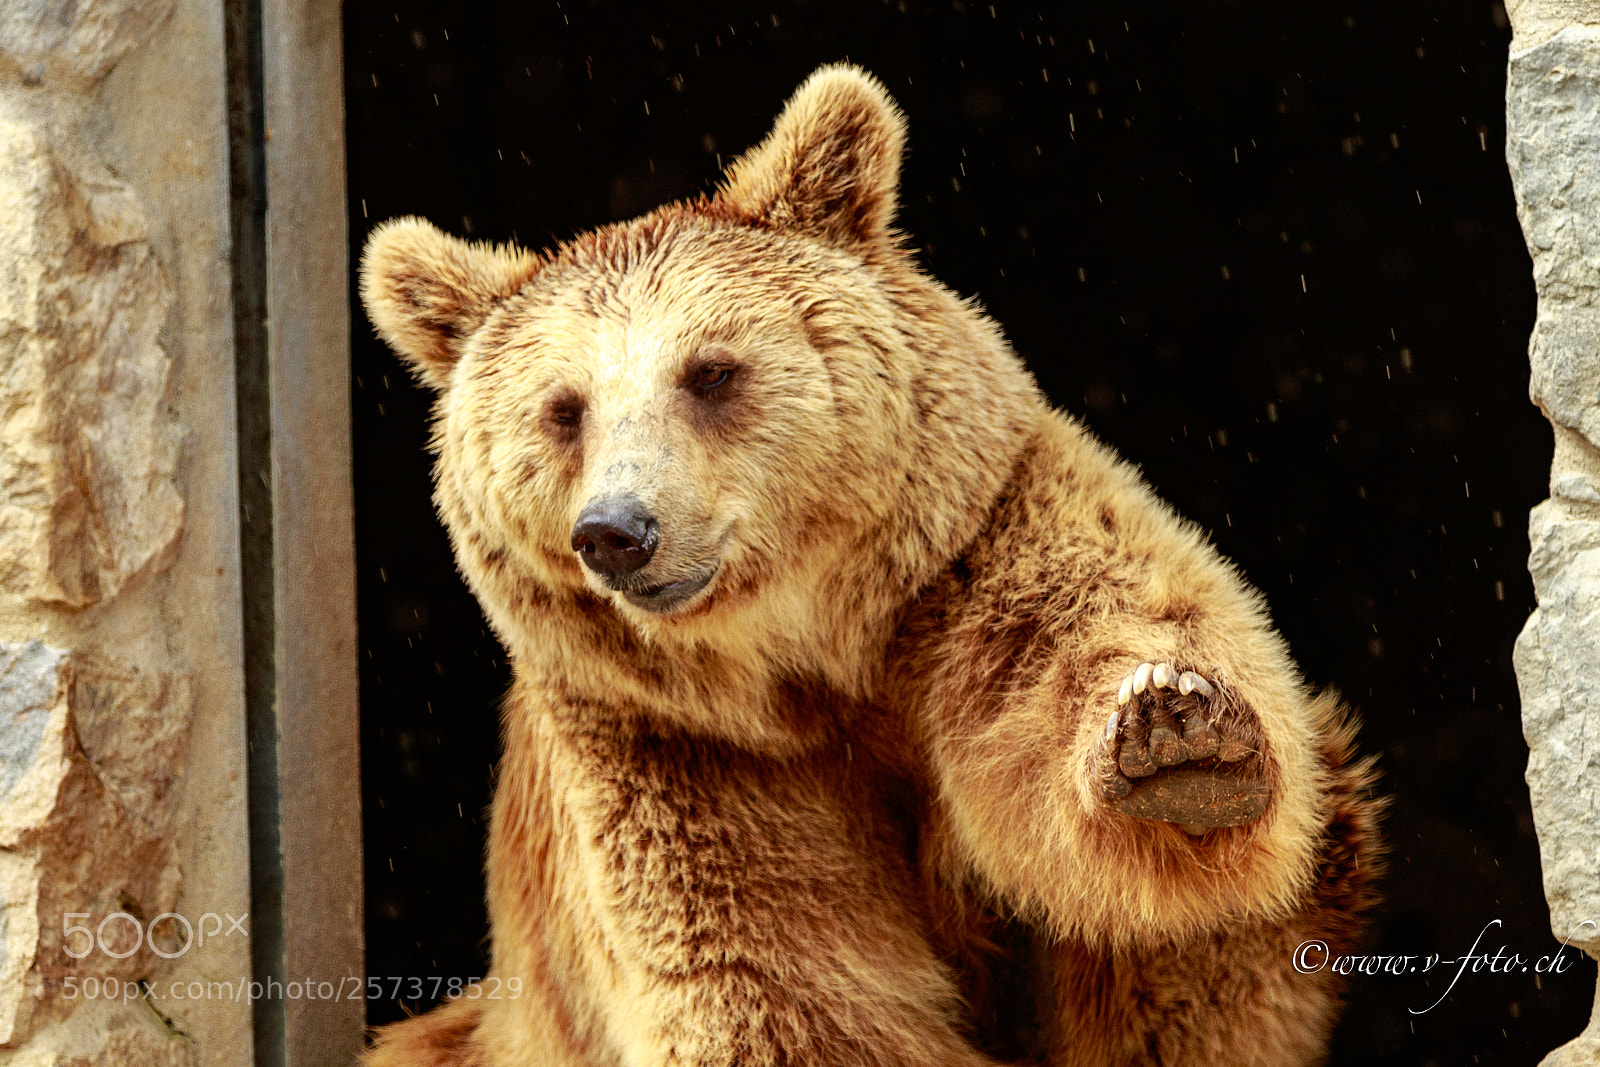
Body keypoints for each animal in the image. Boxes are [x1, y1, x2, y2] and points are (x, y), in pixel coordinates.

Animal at [357, 64, 1382, 1067]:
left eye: (710, 370)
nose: (617, 530)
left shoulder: (976, 550)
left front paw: (1176, 736)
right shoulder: (674, 752)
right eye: (563, 409)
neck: (816, 657)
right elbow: (772, 983)